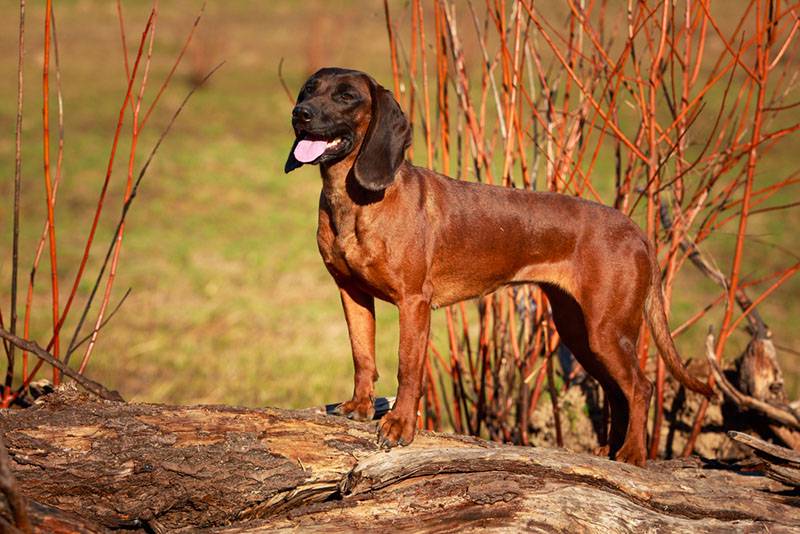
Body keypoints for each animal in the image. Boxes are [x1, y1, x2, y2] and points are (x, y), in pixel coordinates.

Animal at [284, 68, 708, 468]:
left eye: (346, 96)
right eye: (309, 89)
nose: (300, 113)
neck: (355, 200)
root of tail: (637, 231)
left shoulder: (413, 303)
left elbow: (408, 368)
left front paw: (400, 426)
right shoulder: (351, 293)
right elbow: (362, 355)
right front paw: (359, 406)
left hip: (608, 330)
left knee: (640, 387)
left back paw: (633, 453)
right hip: (580, 331)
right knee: (615, 390)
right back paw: (611, 449)